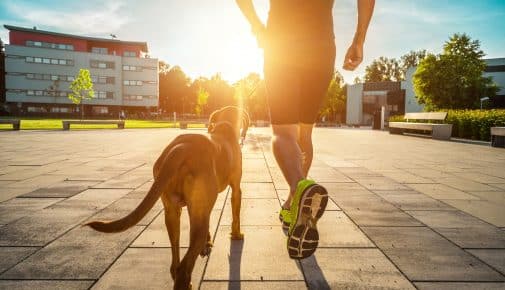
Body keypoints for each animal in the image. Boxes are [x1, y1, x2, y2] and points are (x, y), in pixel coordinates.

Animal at [85, 106, 249, 290]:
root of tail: (182, 148)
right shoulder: (236, 189)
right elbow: (236, 214)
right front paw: (237, 234)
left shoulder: (202, 207)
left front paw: (207, 244)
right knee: (184, 267)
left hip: (172, 212)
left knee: (175, 264)